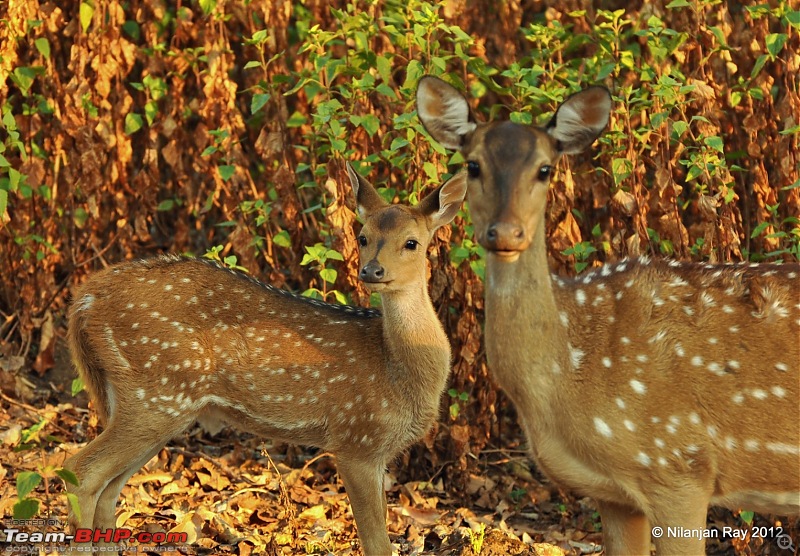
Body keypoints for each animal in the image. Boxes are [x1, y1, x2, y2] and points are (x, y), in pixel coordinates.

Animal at [67, 163, 468, 552]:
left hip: (150, 402)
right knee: (81, 471)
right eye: (363, 236)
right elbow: (376, 543)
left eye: (412, 242)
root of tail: (84, 299)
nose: (371, 270)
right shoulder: (357, 440)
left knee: (108, 489)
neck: (397, 372)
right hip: (157, 393)